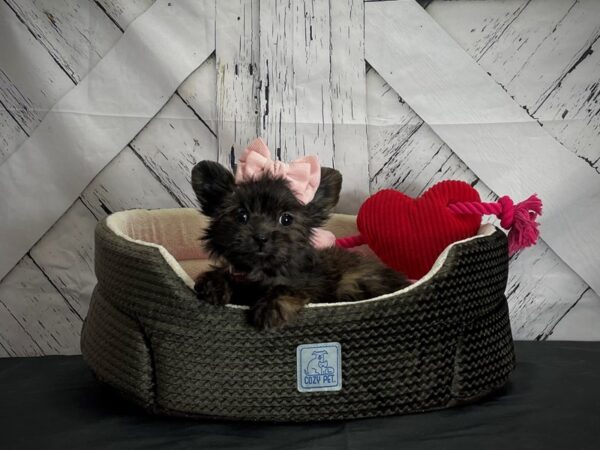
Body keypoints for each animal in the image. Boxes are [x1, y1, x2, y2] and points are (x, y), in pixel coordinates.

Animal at [191, 160, 408, 328]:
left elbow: (286, 288)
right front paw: (214, 283)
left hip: (352, 280)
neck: (261, 271)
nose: (261, 237)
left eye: (286, 219)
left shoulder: (309, 284)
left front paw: (271, 307)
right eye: (241, 215)